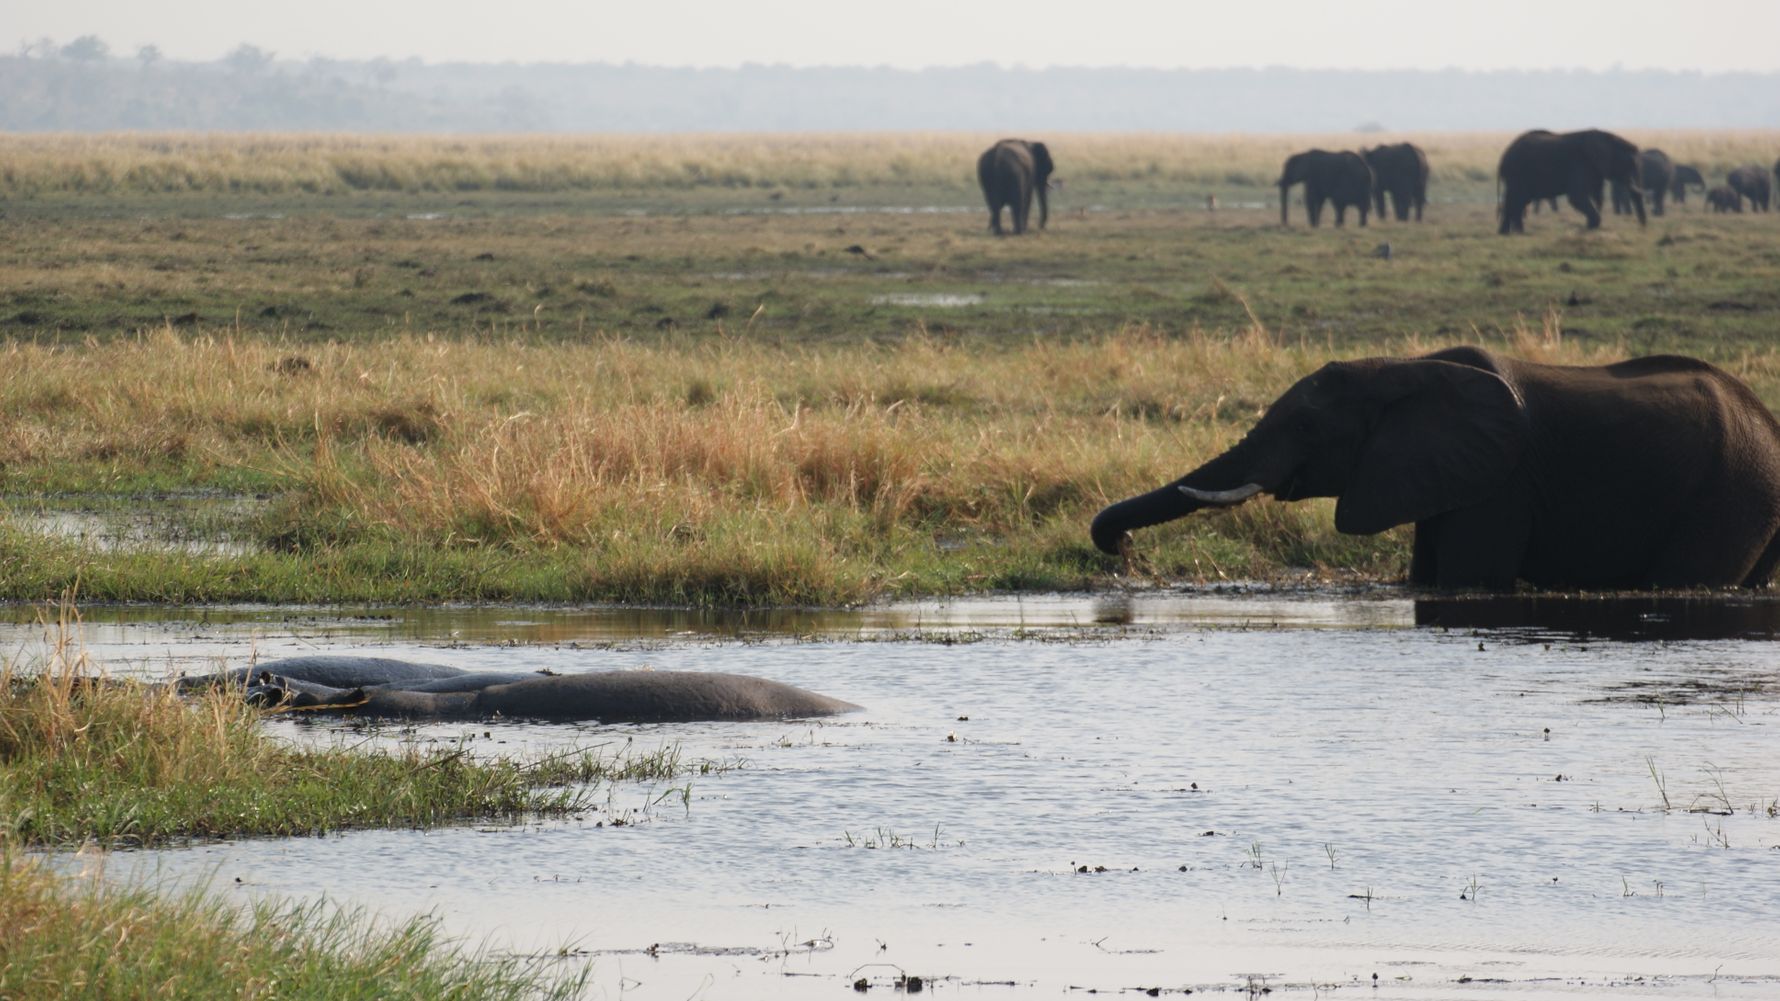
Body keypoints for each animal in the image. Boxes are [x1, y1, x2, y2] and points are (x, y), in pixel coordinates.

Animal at [1089, 346, 1780, 590]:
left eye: (1308, 428)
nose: (1121, 549)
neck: (1401, 366)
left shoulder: (1504, 482)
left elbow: (1468, 580)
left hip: (1730, 493)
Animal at [1496, 129, 1644, 233]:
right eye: (1630, 164)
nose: (1643, 228)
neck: (1609, 137)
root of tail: (1502, 158)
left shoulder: (1594, 170)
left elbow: (1592, 196)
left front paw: (1589, 228)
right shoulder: (1580, 164)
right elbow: (1577, 196)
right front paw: (1590, 228)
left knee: (1519, 201)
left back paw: (1513, 233)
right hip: (1517, 173)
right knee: (1515, 200)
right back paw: (1511, 233)